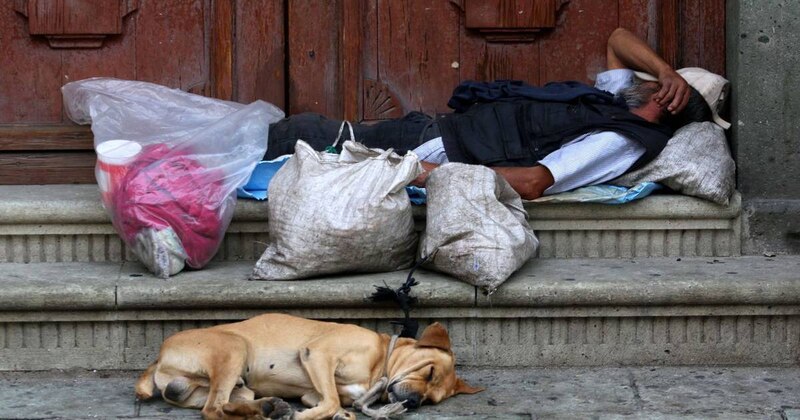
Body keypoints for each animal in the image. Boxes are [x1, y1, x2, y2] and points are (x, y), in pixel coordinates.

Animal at [134, 314, 482, 418]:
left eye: (431, 400)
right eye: (430, 371)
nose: (413, 403)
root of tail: (158, 359)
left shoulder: (314, 390)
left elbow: (331, 402)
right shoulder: (319, 354)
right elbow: (331, 402)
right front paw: (306, 416)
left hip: (240, 387)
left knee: (224, 405)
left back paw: (268, 408)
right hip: (234, 348)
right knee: (213, 409)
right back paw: (271, 412)